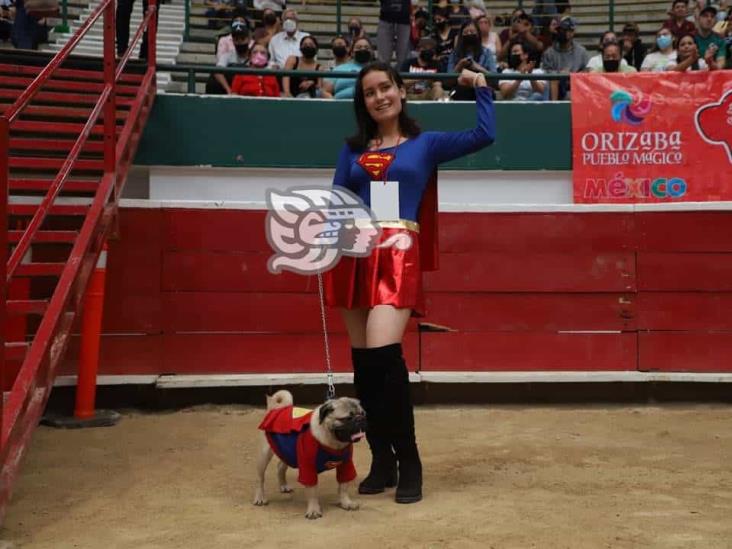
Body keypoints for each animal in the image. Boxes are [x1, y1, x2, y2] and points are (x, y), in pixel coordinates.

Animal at [253, 390, 366, 520]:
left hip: (287, 451)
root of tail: (275, 408)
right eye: (347, 418)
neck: (333, 441)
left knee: (280, 467)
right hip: (264, 455)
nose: (360, 419)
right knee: (260, 479)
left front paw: (346, 502)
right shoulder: (308, 467)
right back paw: (260, 497)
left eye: (363, 414)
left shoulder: (346, 465)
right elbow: (312, 492)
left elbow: (343, 486)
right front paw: (313, 510)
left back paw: (283, 485)